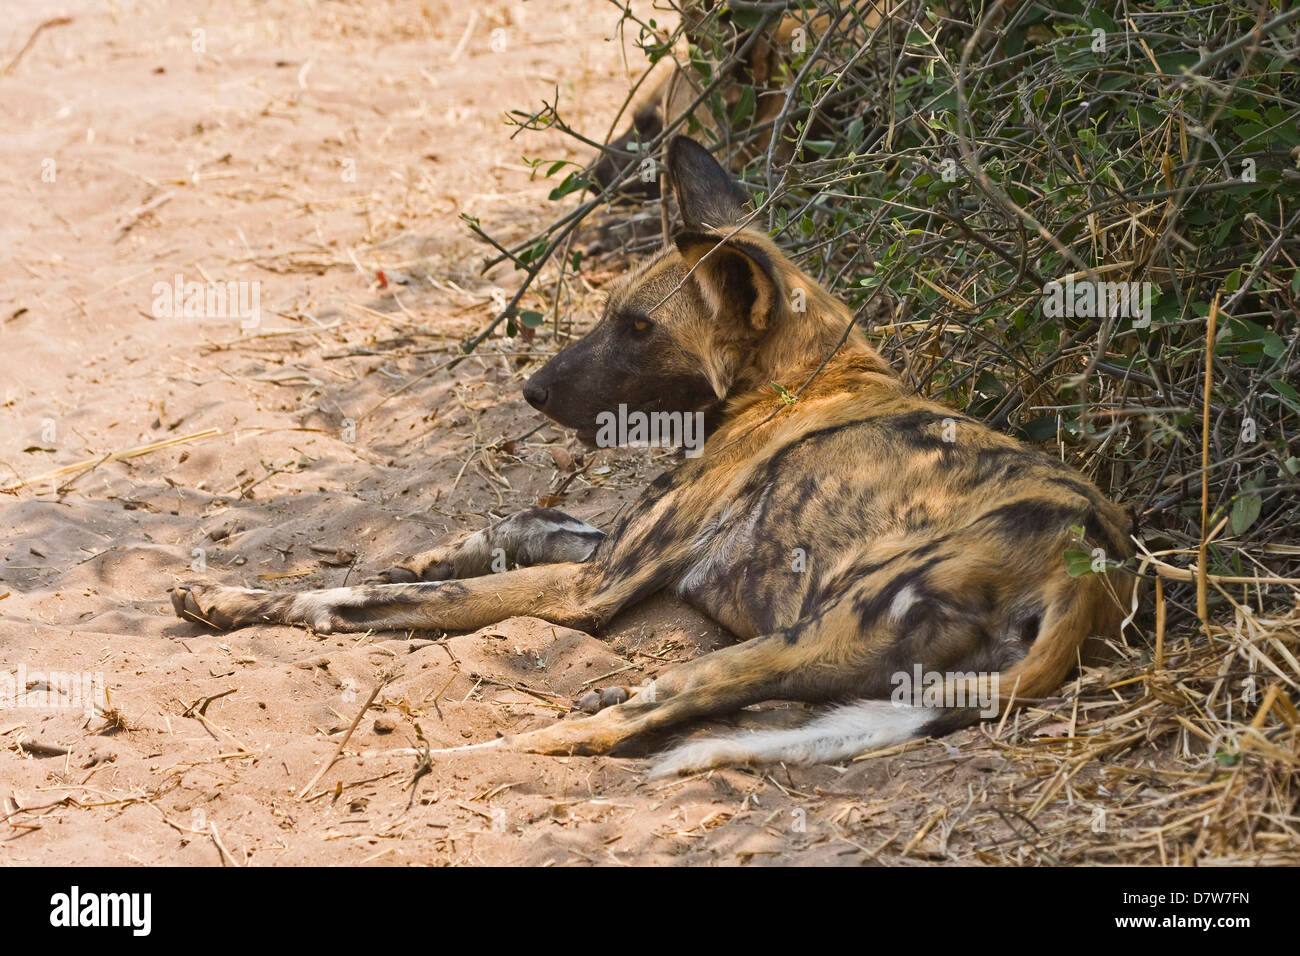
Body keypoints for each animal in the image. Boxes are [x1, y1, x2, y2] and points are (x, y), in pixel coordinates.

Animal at [175, 136, 1138, 780]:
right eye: (611, 315)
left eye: (637, 328)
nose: (532, 390)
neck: (804, 377)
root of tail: (1088, 572)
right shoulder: (616, 551)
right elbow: (514, 523)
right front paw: (418, 554)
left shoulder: (589, 588)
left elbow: (361, 600)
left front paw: (243, 601)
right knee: (658, 710)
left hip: (801, 635)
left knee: (609, 728)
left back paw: (457, 755)